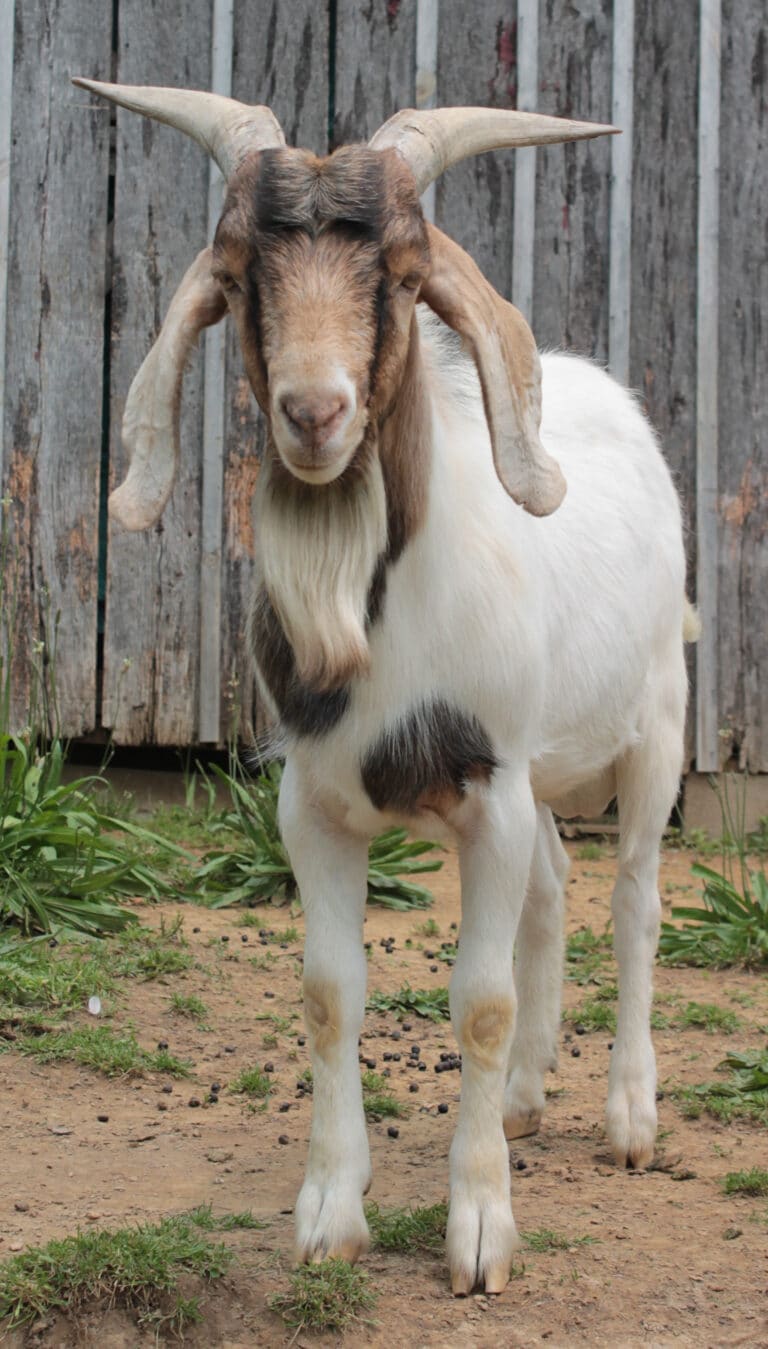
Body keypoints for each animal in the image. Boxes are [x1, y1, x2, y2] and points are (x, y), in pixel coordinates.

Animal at [73, 80, 692, 1296]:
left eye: (404, 276)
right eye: (239, 274)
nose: (316, 412)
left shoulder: (487, 789)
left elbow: (482, 1001)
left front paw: (481, 1234)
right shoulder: (314, 805)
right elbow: (329, 993)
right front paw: (329, 1215)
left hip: (658, 725)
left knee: (637, 898)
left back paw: (628, 1118)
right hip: (542, 768)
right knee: (556, 886)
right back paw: (529, 1098)